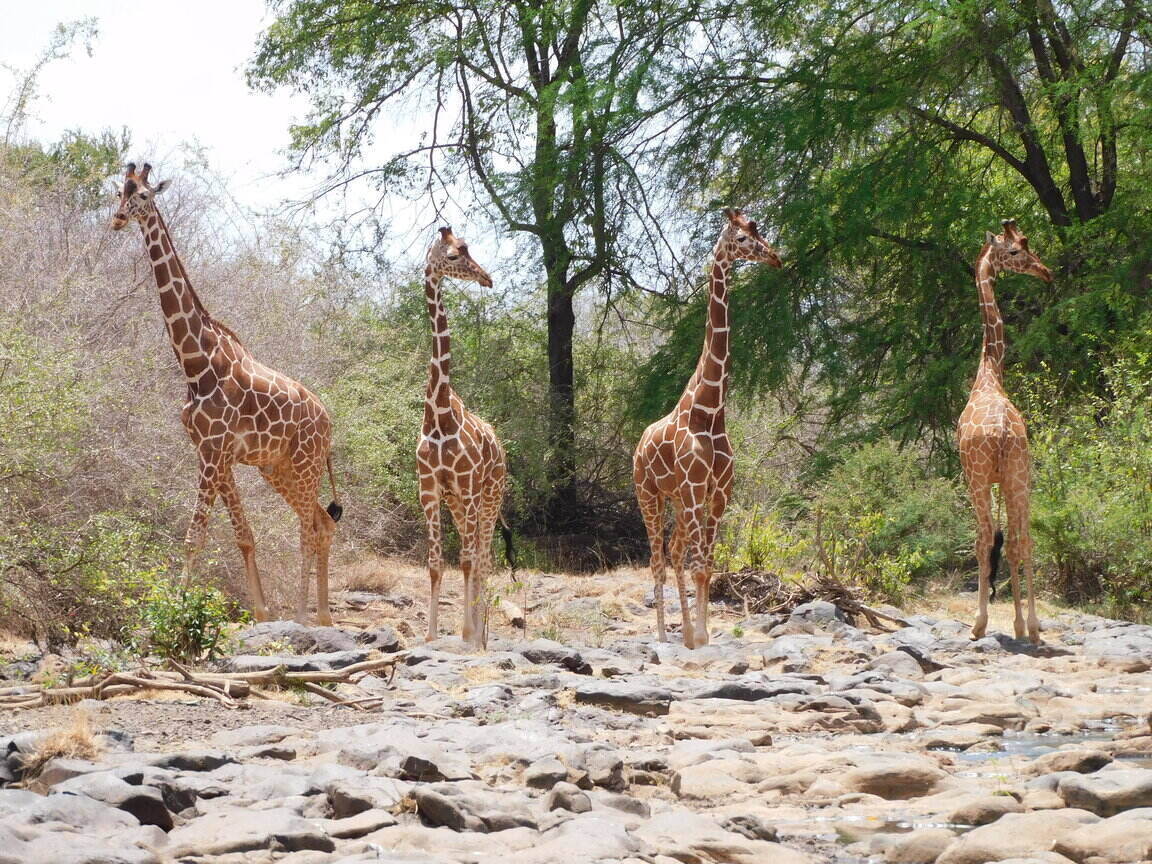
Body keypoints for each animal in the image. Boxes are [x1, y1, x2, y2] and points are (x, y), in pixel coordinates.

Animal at [111, 161, 340, 622]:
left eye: (143, 195)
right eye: (118, 191)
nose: (119, 218)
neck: (195, 362)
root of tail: (329, 425)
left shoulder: (215, 450)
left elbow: (193, 537)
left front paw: (172, 614)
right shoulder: (213, 452)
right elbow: (244, 534)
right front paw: (262, 613)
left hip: (305, 464)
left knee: (308, 529)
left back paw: (303, 616)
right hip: (277, 468)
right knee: (323, 524)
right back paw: (323, 617)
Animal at [631, 209, 783, 649]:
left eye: (758, 228)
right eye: (743, 237)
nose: (775, 257)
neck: (711, 410)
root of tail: (638, 445)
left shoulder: (718, 492)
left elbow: (708, 565)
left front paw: (701, 634)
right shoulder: (697, 489)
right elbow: (699, 565)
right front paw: (698, 636)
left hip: (680, 501)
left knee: (675, 550)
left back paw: (680, 631)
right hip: (649, 495)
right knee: (658, 558)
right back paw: (664, 635)